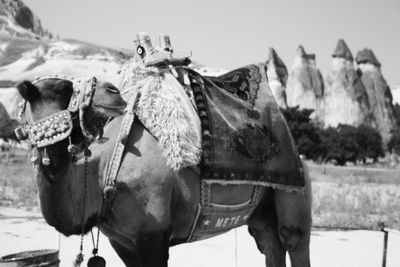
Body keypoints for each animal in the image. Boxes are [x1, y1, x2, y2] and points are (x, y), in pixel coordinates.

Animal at [16, 67, 312, 267]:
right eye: (63, 89)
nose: (112, 92)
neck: (105, 172)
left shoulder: (153, 234)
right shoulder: (122, 241)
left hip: (295, 190)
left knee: (293, 239)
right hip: (261, 214)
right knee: (270, 244)